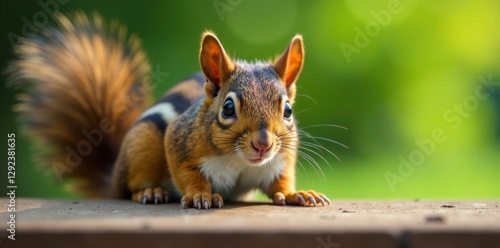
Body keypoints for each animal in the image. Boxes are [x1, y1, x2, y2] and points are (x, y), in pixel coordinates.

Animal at [7, 12, 330, 208]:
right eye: (228, 108)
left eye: (287, 110)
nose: (263, 144)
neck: (240, 161)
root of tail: (112, 176)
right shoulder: (178, 141)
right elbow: (187, 174)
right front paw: (199, 194)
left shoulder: (281, 160)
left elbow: (280, 182)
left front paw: (298, 194)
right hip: (144, 145)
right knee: (129, 188)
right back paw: (150, 192)